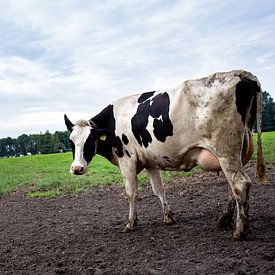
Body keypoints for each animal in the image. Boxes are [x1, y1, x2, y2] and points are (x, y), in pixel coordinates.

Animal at [64, 70, 266, 242]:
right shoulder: (150, 161)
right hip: (239, 152)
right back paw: (224, 220)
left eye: (90, 140)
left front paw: (130, 224)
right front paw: (168, 217)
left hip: (225, 150)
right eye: (71, 142)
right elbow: (158, 189)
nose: (77, 168)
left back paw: (240, 231)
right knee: (234, 188)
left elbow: (131, 192)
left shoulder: (127, 159)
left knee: (240, 183)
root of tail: (239, 73)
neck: (112, 121)